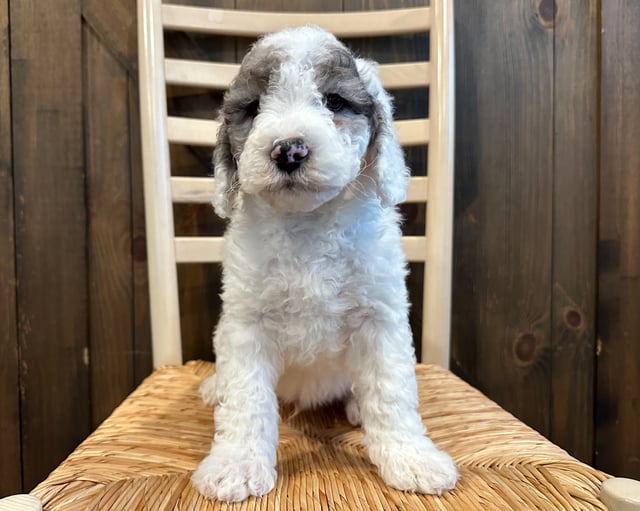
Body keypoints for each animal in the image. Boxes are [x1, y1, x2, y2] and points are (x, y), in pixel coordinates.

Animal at [191, 26, 460, 502]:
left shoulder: (380, 318)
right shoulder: (245, 325)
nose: (289, 151)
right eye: (254, 108)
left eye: (334, 101)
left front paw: (411, 459)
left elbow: (391, 393)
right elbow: (245, 399)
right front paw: (236, 465)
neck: (308, 224)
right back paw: (214, 387)